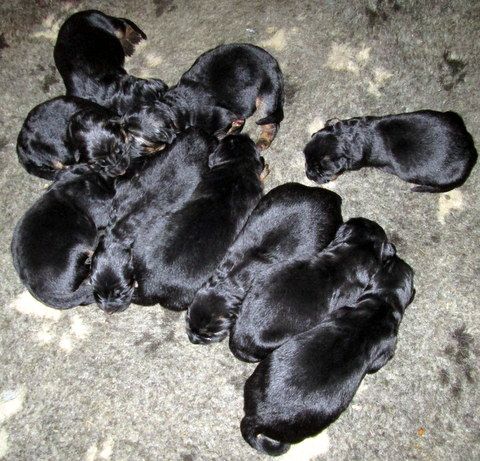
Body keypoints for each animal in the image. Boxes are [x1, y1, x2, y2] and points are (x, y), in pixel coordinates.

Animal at [122, 43, 284, 151]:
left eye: (144, 144)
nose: (128, 153)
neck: (172, 109)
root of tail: (274, 64)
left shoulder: (225, 117)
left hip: (267, 95)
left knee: (270, 123)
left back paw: (263, 140)